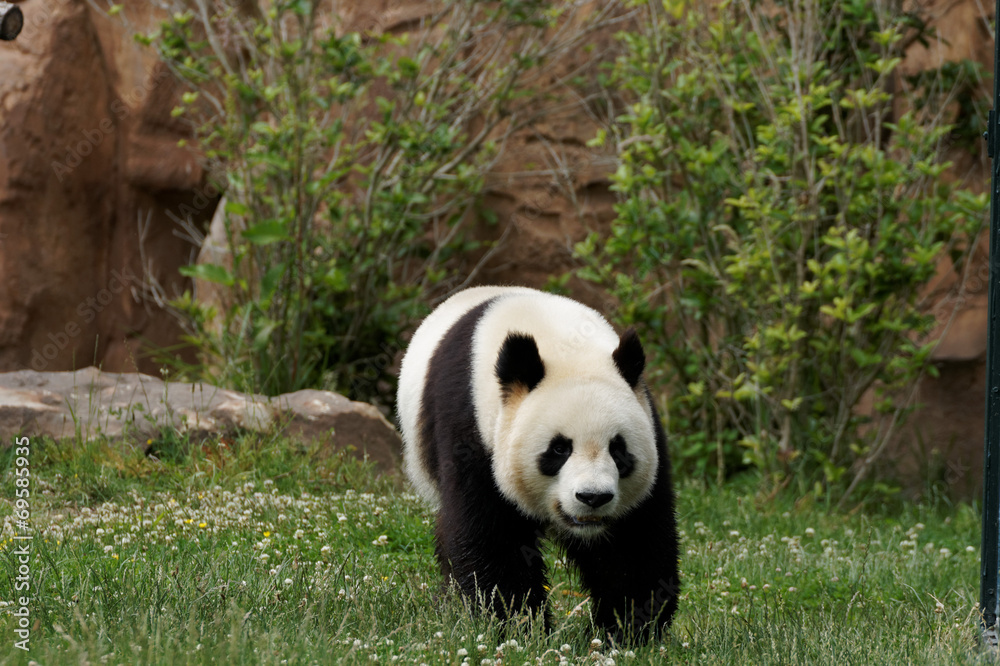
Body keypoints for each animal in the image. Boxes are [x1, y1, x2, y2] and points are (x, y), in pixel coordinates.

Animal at [397, 286, 679, 641]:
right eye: (558, 449)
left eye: (618, 450)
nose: (593, 498)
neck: (563, 341)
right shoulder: (471, 430)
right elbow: (492, 537)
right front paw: (519, 626)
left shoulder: (648, 422)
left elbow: (634, 542)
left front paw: (630, 629)